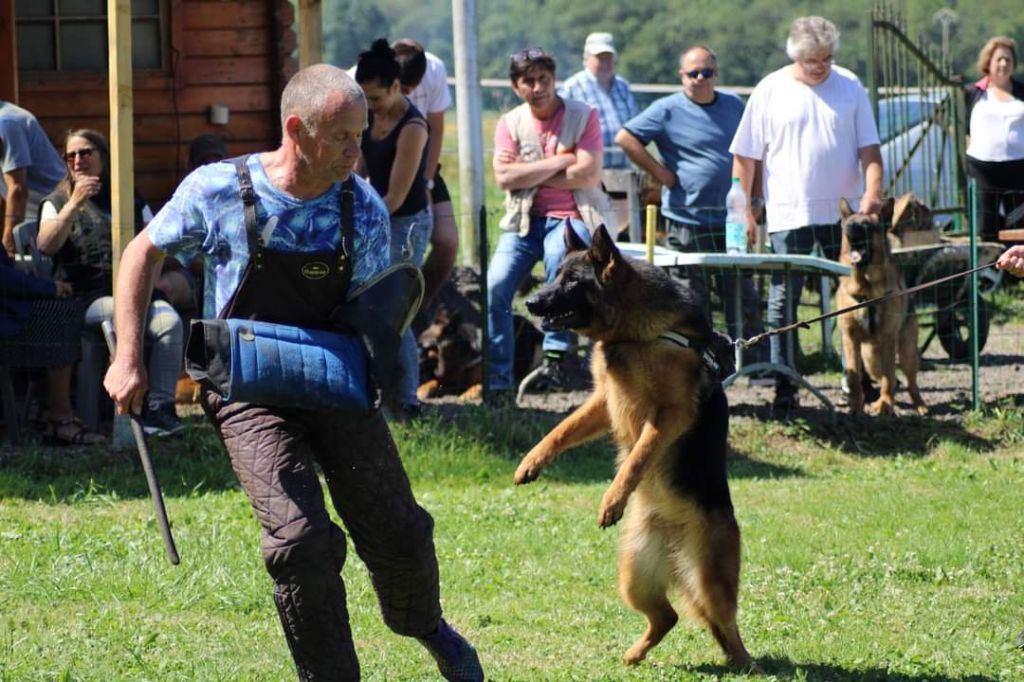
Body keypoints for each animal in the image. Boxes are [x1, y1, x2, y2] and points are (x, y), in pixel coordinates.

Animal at [839, 193, 929, 411]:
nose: (849, 229)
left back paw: (919, 405)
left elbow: (889, 376)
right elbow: (854, 377)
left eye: (866, 225)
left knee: (909, 381)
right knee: (888, 377)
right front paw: (856, 406)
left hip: (906, 353)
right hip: (870, 358)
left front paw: (885, 405)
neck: (866, 290)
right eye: (850, 223)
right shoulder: (850, 339)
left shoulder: (888, 338)